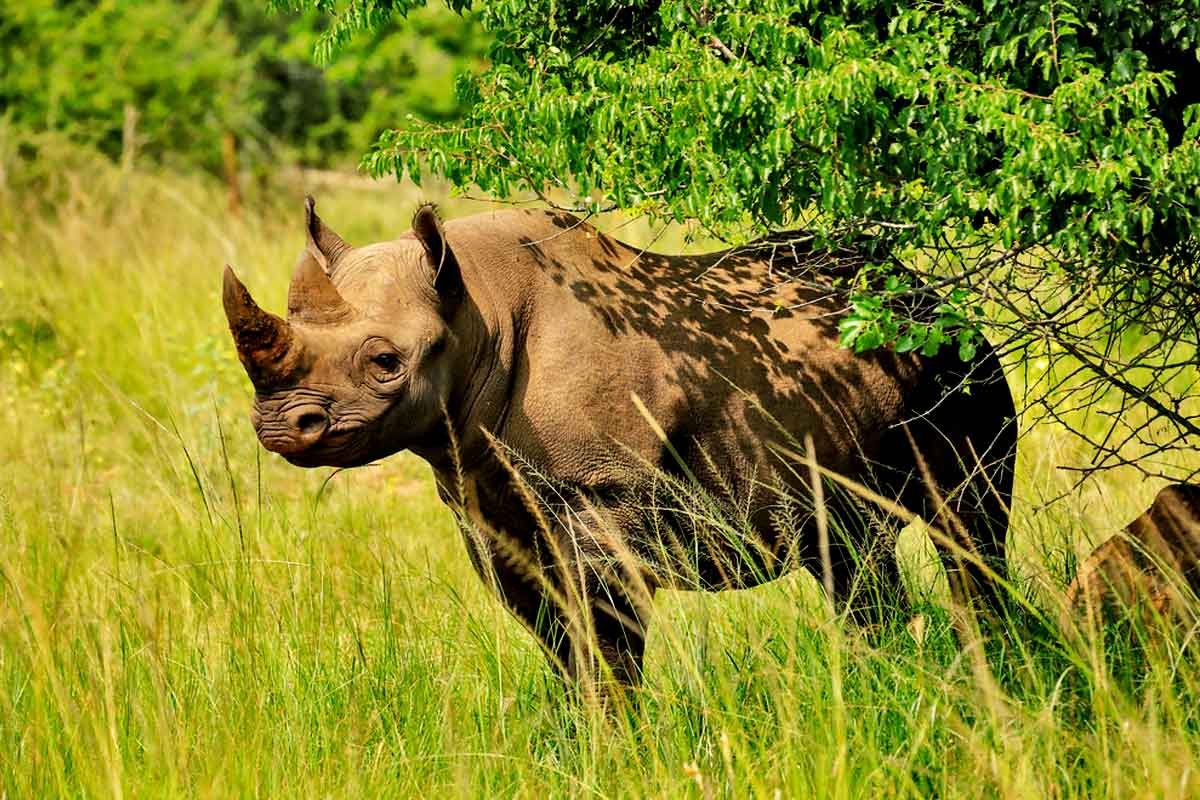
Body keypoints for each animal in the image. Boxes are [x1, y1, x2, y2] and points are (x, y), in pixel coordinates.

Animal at [222, 197, 1019, 689]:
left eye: (386, 362)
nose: (281, 425)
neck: (475, 312)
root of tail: (926, 292)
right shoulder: (489, 507)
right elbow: (560, 645)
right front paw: (581, 751)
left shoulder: (603, 494)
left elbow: (606, 645)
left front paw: (619, 755)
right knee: (850, 554)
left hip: (959, 363)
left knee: (968, 530)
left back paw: (991, 666)